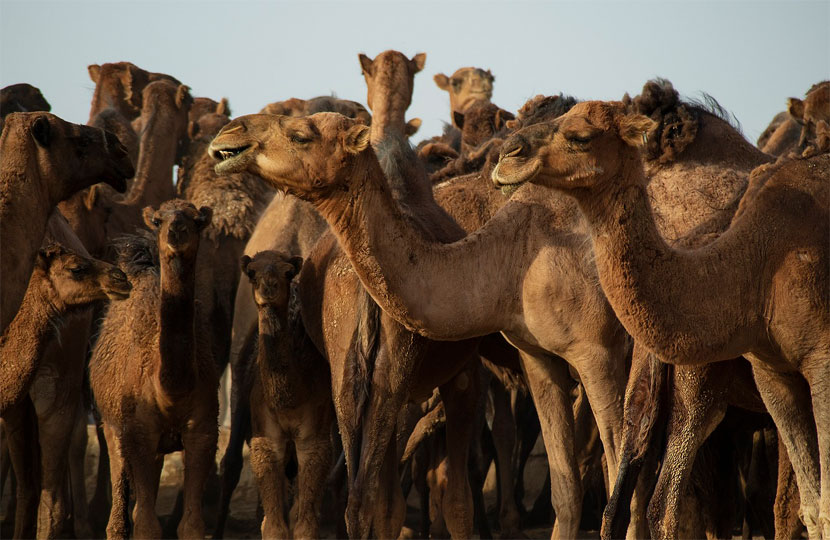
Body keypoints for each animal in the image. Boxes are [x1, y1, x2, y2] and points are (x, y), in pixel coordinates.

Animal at [90, 199, 218, 540]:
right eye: (159, 220)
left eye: (196, 220)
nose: (176, 230)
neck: (170, 390)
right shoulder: (139, 434)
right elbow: (146, 524)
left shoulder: (203, 432)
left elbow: (191, 525)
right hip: (112, 428)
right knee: (119, 515)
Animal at [240, 251, 334, 540]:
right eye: (252, 272)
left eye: (287, 272)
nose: (268, 288)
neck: (291, 398)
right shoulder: (266, 437)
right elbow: (273, 525)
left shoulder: (313, 439)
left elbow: (304, 524)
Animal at [494, 102, 830, 540]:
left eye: (580, 136)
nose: (506, 154)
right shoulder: (778, 373)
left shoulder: (810, 364)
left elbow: (811, 506)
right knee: (668, 502)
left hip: (650, 391)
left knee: (627, 498)